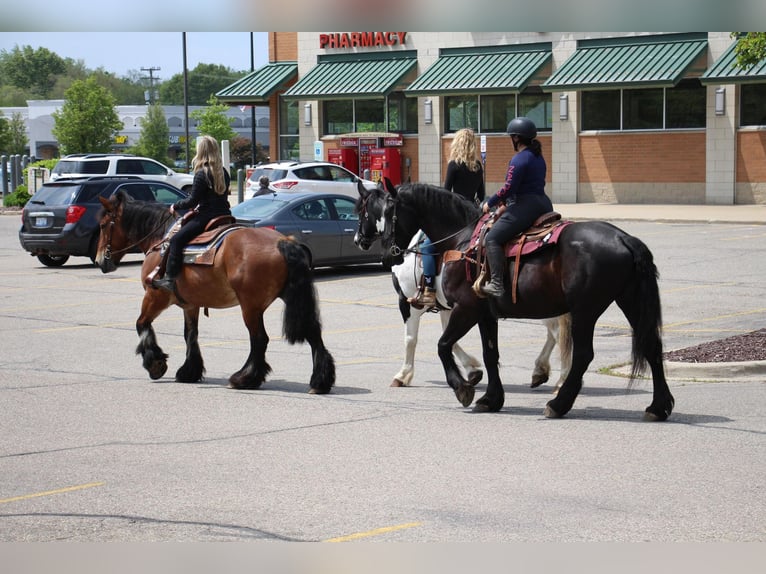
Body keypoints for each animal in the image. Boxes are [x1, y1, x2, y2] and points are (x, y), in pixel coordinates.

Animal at [96, 191, 336, 394]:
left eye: (102, 225)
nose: (99, 261)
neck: (161, 241)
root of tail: (284, 242)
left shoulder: (156, 295)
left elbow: (141, 324)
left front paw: (155, 363)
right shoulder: (190, 304)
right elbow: (190, 335)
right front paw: (189, 371)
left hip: (250, 307)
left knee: (259, 339)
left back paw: (244, 378)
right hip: (292, 299)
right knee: (313, 333)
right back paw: (320, 381)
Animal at [356, 180, 676, 424]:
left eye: (383, 211)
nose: (387, 255)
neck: (459, 242)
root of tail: (624, 239)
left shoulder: (459, 307)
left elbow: (439, 344)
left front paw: (459, 387)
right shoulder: (482, 313)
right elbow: (489, 353)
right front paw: (490, 397)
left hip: (585, 310)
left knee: (582, 353)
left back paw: (559, 402)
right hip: (628, 301)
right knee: (650, 345)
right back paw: (658, 406)